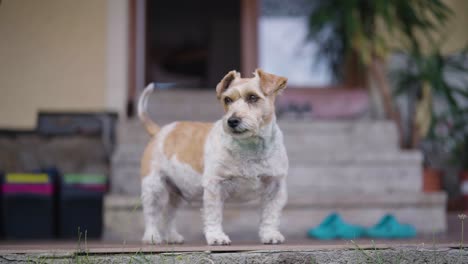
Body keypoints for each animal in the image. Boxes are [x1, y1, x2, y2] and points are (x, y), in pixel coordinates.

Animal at [137, 68, 288, 245]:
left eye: (253, 97)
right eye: (227, 99)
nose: (232, 121)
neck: (249, 146)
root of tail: (160, 131)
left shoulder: (275, 186)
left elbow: (270, 215)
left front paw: (270, 234)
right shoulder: (215, 185)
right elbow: (213, 215)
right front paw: (217, 237)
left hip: (177, 193)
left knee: (168, 213)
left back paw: (172, 236)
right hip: (152, 186)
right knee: (151, 213)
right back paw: (152, 236)